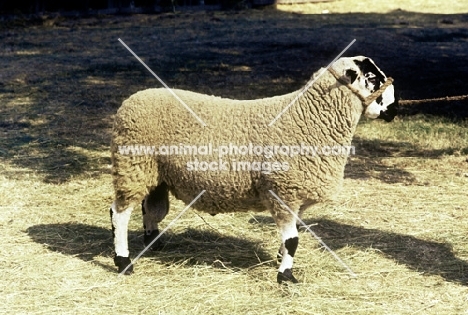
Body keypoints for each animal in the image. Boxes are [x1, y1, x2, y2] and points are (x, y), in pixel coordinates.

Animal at [109, 56, 398, 284]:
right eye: (372, 77)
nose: (395, 109)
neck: (309, 117)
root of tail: (131, 100)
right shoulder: (283, 190)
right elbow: (293, 240)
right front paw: (286, 276)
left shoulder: (296, 196)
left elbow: (292, 234)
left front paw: (282, 260)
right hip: (132, 163)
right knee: (119, 213)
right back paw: (124, 262)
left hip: (154, 173)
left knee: (150, 209)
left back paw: (153, 242)